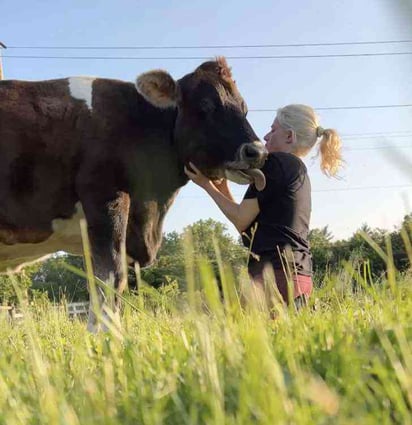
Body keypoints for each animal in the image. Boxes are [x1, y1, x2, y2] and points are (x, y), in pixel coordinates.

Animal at [0, 56, 268, 330]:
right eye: (206, 106)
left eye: (244, 107)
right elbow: (111, 276)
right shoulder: (106, 198)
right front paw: (107, 337)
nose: (257, 152)